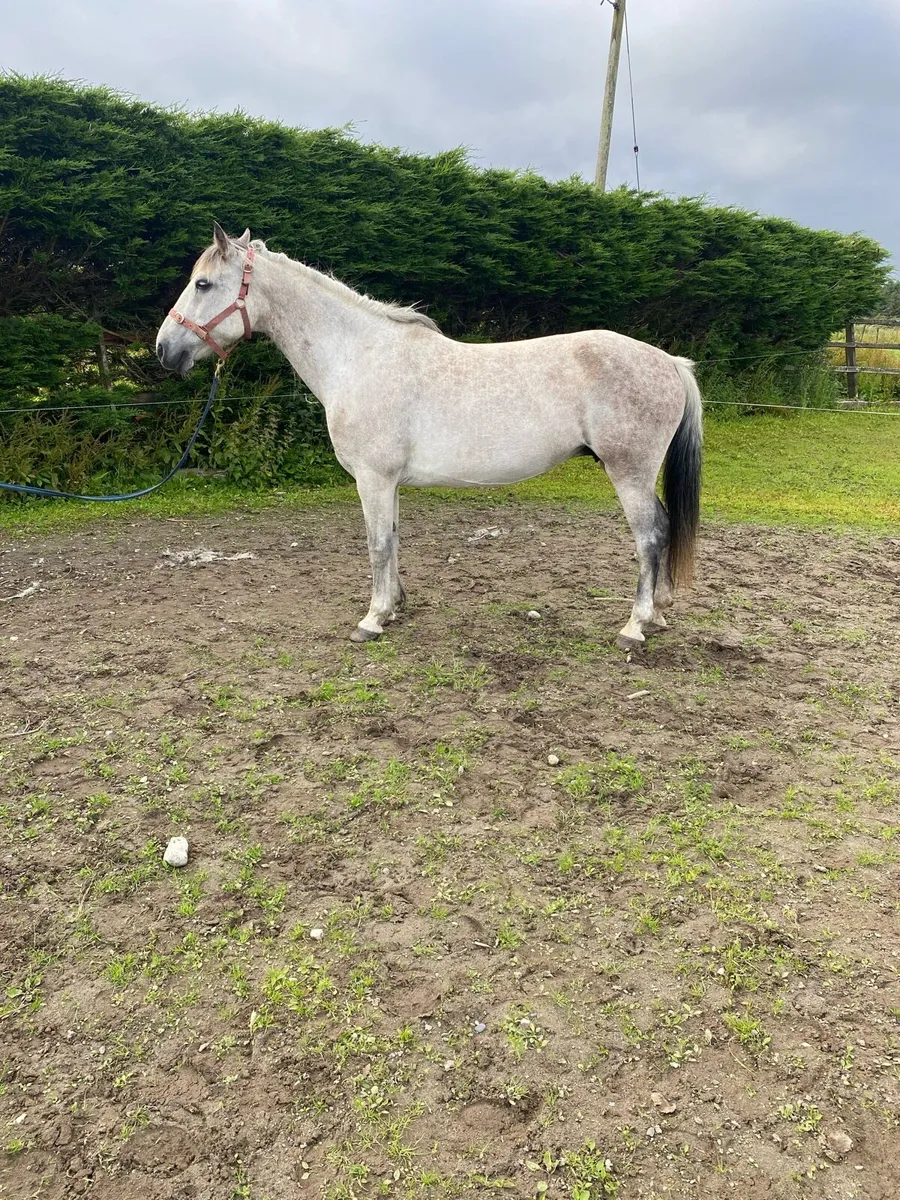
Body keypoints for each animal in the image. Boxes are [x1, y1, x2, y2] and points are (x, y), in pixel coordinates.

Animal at [156, 225, 702, 649]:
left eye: (203, 283)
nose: (165, 350)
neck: (358, 356)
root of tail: (669, 362)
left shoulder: (372, 479)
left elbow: (377, 544)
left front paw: (372, 619)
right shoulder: (388, 482)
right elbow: (394, 540)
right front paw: (395, 606)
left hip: (629, 474)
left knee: (650, 536)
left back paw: (634, 627)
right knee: (663, 528)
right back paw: (657, 614)